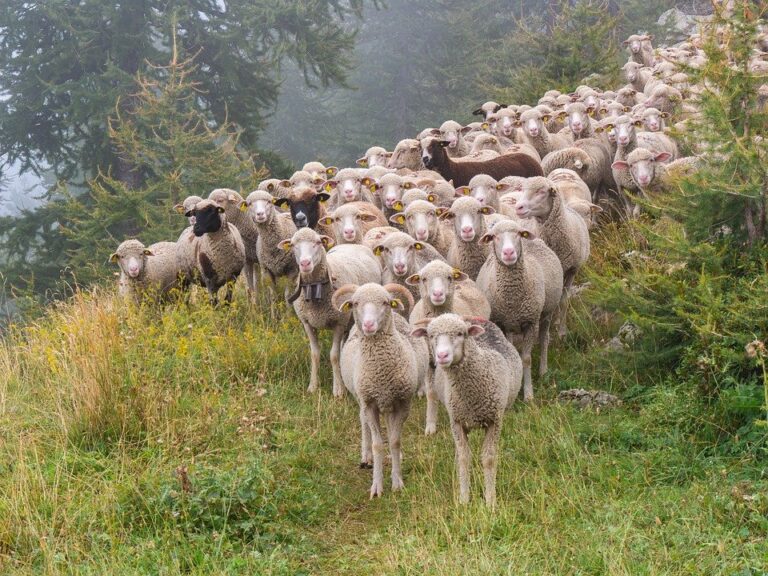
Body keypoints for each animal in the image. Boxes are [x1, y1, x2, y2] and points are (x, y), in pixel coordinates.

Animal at [278, 227, 382, 397]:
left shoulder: (339, 322)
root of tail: (351, 244)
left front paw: (338, 389)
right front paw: (313, 386)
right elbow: (314, 354)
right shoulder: (307, 323)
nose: (305, 263)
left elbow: (334, 355)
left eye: (318, 242)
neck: (315, 288)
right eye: (293, 245)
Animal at [333, 283, 428, 498]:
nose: (368, 325)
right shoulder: (369, 403)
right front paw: (377, 486)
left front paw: (397, 481)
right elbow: (377, 444)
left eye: (385, 302)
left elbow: (394, 440)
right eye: (355, 303)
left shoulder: (402, 402)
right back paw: (366, 456)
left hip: (389, 402)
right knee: (364, 423)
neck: (381, 371)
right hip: (362, 398)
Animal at [410, 314, 522, 507]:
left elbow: (489, 459)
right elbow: (464, 458)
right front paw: (464, 499)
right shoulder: (457, 422)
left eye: (460, 334)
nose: (442, 355)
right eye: (431, 336)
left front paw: (490, 500)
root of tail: (476, 319)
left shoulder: (494, 421)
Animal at [476, 220, 563, 401]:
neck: (512, 299)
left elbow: (526, 359)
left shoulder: (530, 322)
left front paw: (528, 394)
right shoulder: (501, 323)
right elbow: (511, 354)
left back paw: (543, 370)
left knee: (544, 339)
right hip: (511, 325)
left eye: (518, 234)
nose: (509, 252)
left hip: (546, 313)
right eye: (494, 236)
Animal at [515, 177, 590, 337]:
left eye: (541, 191)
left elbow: (564, 300)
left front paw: (562, 331)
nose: (518, 207)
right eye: (523, 189)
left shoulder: (572, 270)